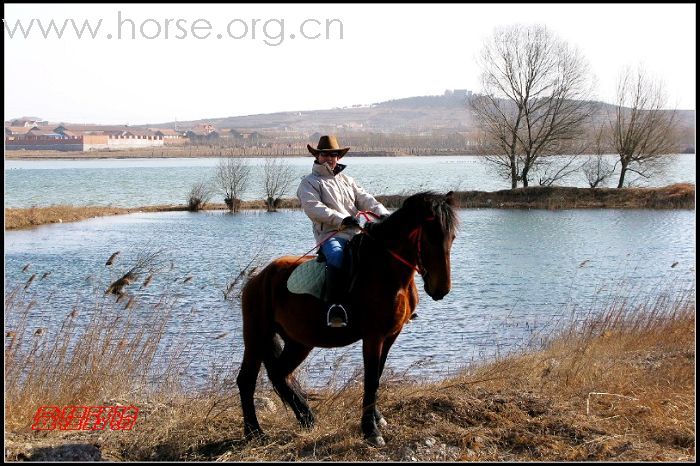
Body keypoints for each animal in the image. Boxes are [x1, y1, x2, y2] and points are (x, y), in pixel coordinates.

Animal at [235, 191, 460, 446]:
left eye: (451, 237)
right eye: (430, 238)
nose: (441, 289)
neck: (384, 271)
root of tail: (257, 279)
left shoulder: (390, 335)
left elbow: (377, 375)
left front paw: (376, 419)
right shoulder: (373, 336)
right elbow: (371, 379)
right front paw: (371, 431)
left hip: (299, 342)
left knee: (280, 374)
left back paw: (307, 418)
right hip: (256, 336)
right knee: (247, 380)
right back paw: (255, 432)